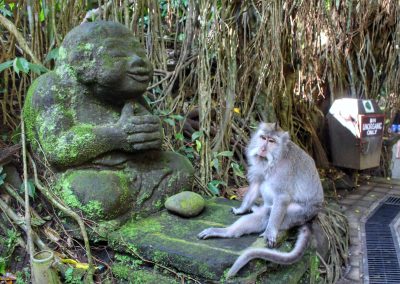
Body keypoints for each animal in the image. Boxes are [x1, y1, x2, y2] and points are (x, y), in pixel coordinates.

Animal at [198, 121, 324, 278]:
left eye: (271, 141)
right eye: (263, 138)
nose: (263, 149)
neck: (274, 159)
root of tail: (311, 218)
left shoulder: (285, 172)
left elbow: (282, 196)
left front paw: (270, 232)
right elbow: (257, 183)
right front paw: (242, 209)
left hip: (299, 214)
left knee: (267, 214)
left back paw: (228, 231)